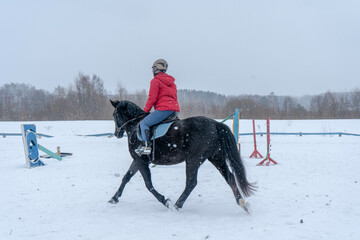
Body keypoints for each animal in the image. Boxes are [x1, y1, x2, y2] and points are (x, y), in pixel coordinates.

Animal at [107, 99, 256, 212]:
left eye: (115, 114)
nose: (116, 133)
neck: (135, 126)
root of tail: (215, 124)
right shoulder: (138, 160)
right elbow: (126, 178)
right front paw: (114, 198)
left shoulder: (140, 160)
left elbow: (148, 184)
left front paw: (164, 200)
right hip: (215, 157)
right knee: (230, 177)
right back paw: (242, 203)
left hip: (194, 160)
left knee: (191, 182)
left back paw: (177, 205)